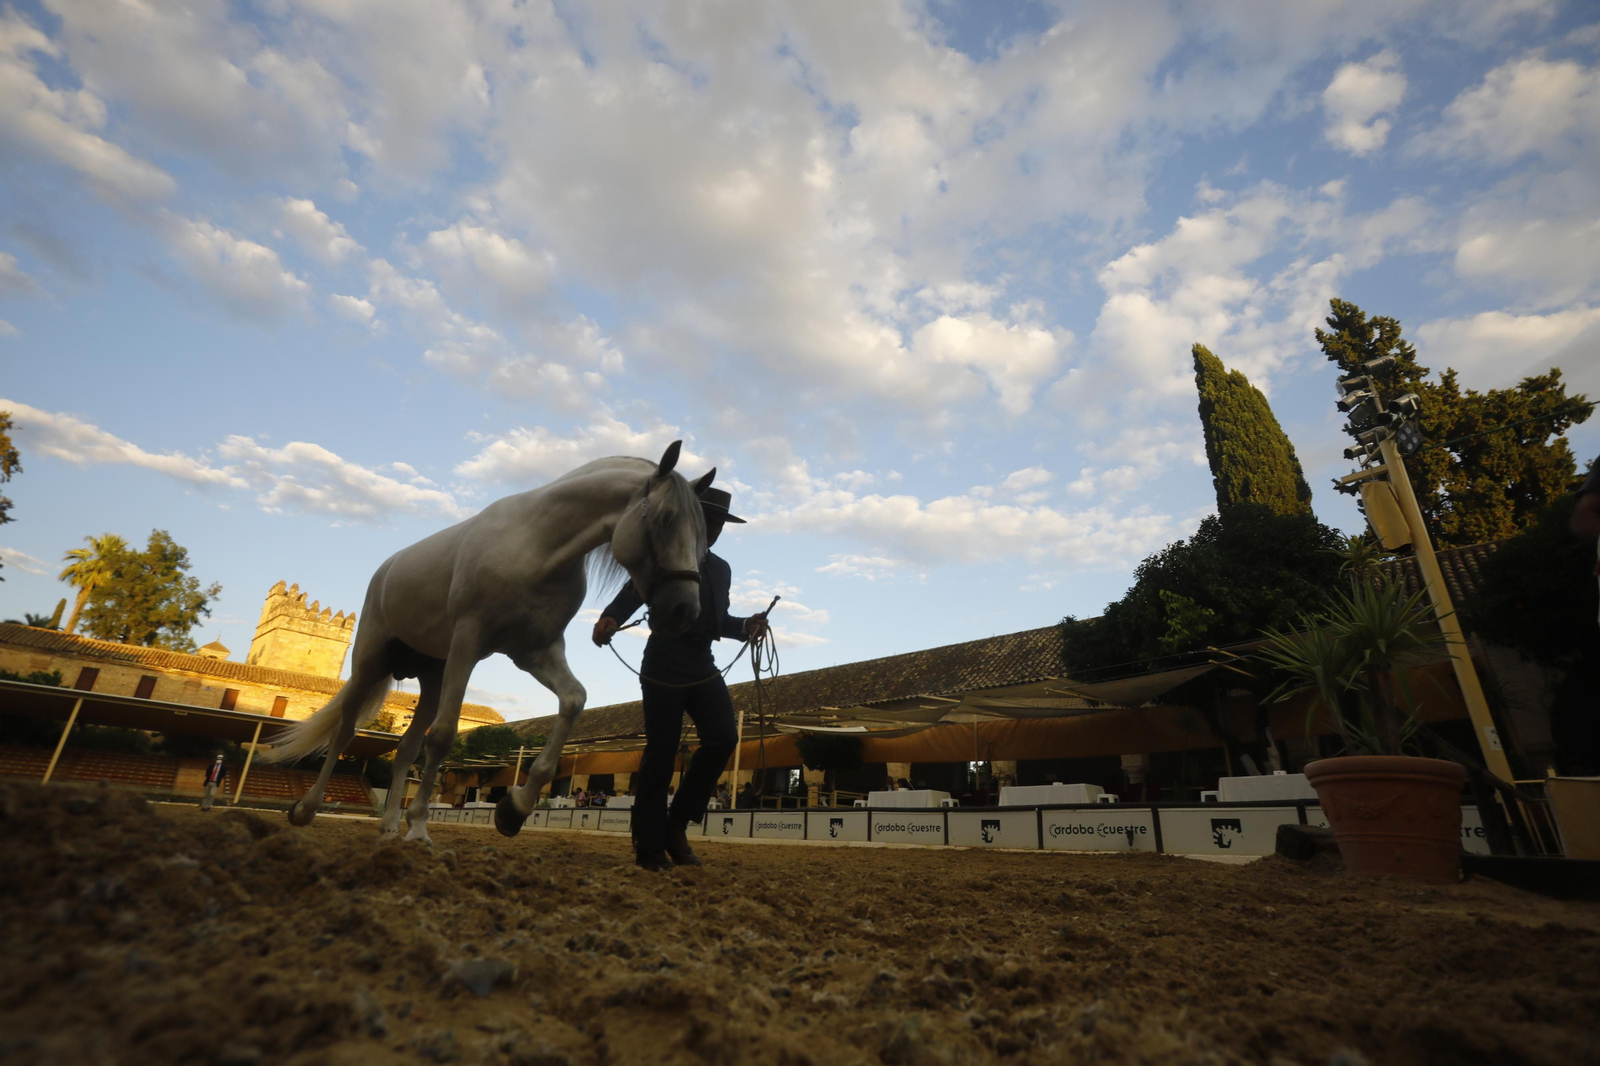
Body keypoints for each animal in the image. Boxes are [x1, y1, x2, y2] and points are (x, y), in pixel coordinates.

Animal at [260, 441, 712, 845]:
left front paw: (513, 809)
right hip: (372, 662)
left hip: (433, 677)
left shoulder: (535, 651)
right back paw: (306, 810)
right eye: (664, 519)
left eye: (702, 536)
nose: (684, 611)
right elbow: (443, 737)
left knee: (406, 750)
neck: (538, 546)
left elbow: (573, 701)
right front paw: (420, 828)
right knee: (345, 732)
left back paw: (388, 829)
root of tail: (386, 570)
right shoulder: (470, 642)